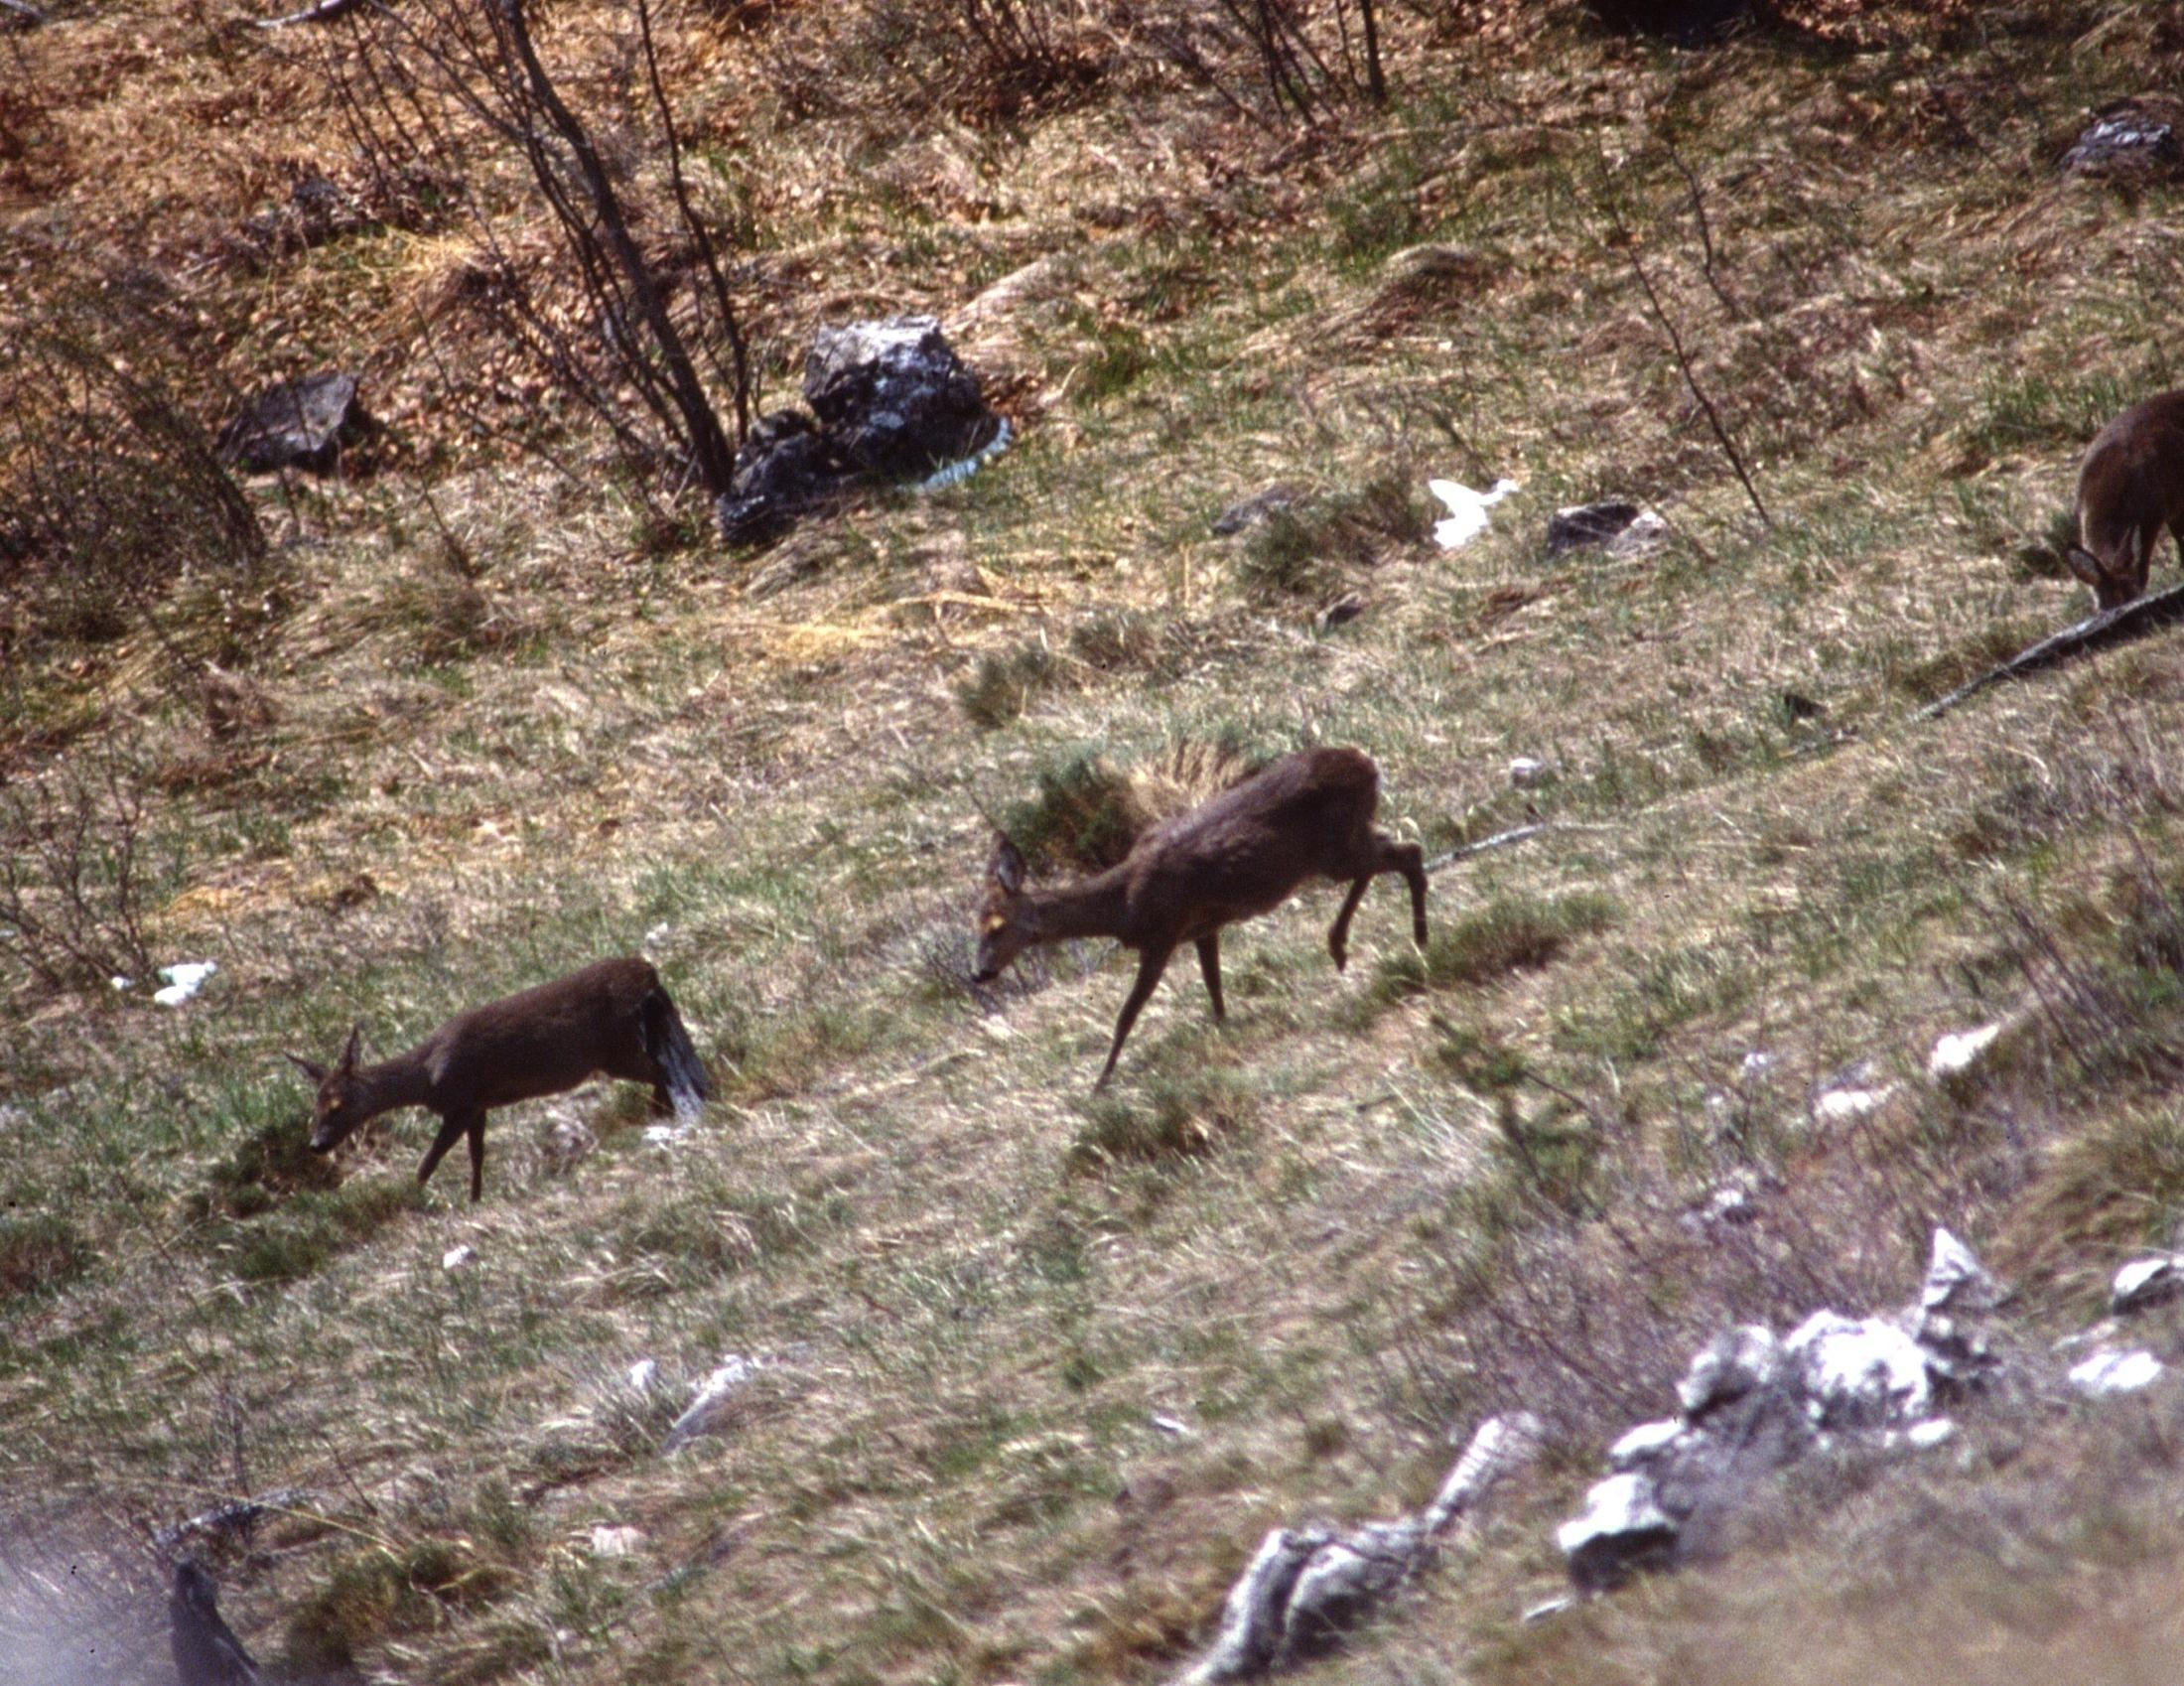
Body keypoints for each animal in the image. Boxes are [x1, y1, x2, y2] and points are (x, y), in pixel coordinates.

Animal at [290, 960, 707, 1196]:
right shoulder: (479, 1105)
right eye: (313, 1107)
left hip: (616, 1046)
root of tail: (649, 972)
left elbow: (430, 1159)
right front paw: (475, 1199)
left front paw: (411, 1197)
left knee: (661, 1069)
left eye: (337, 1105)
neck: (426, 1077)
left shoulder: (461, 1101)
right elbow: (477, 1156)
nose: (316, 1144)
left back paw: (665, 1112)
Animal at [978, 742, 1433, 1087]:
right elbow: (1213, 985)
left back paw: (1415, 940)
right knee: (1393, 852)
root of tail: (1368, 764)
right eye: (975, 924)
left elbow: (1127, 1013)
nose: (978, 973)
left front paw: (1100, 1084)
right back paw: (1345, 946)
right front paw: (1222, 1028)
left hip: (1335, 846)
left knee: (1408, 852)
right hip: (1343, 842)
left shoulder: (1163, 932)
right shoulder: (1201, 927)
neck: (1122, 904)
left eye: (996, 927)